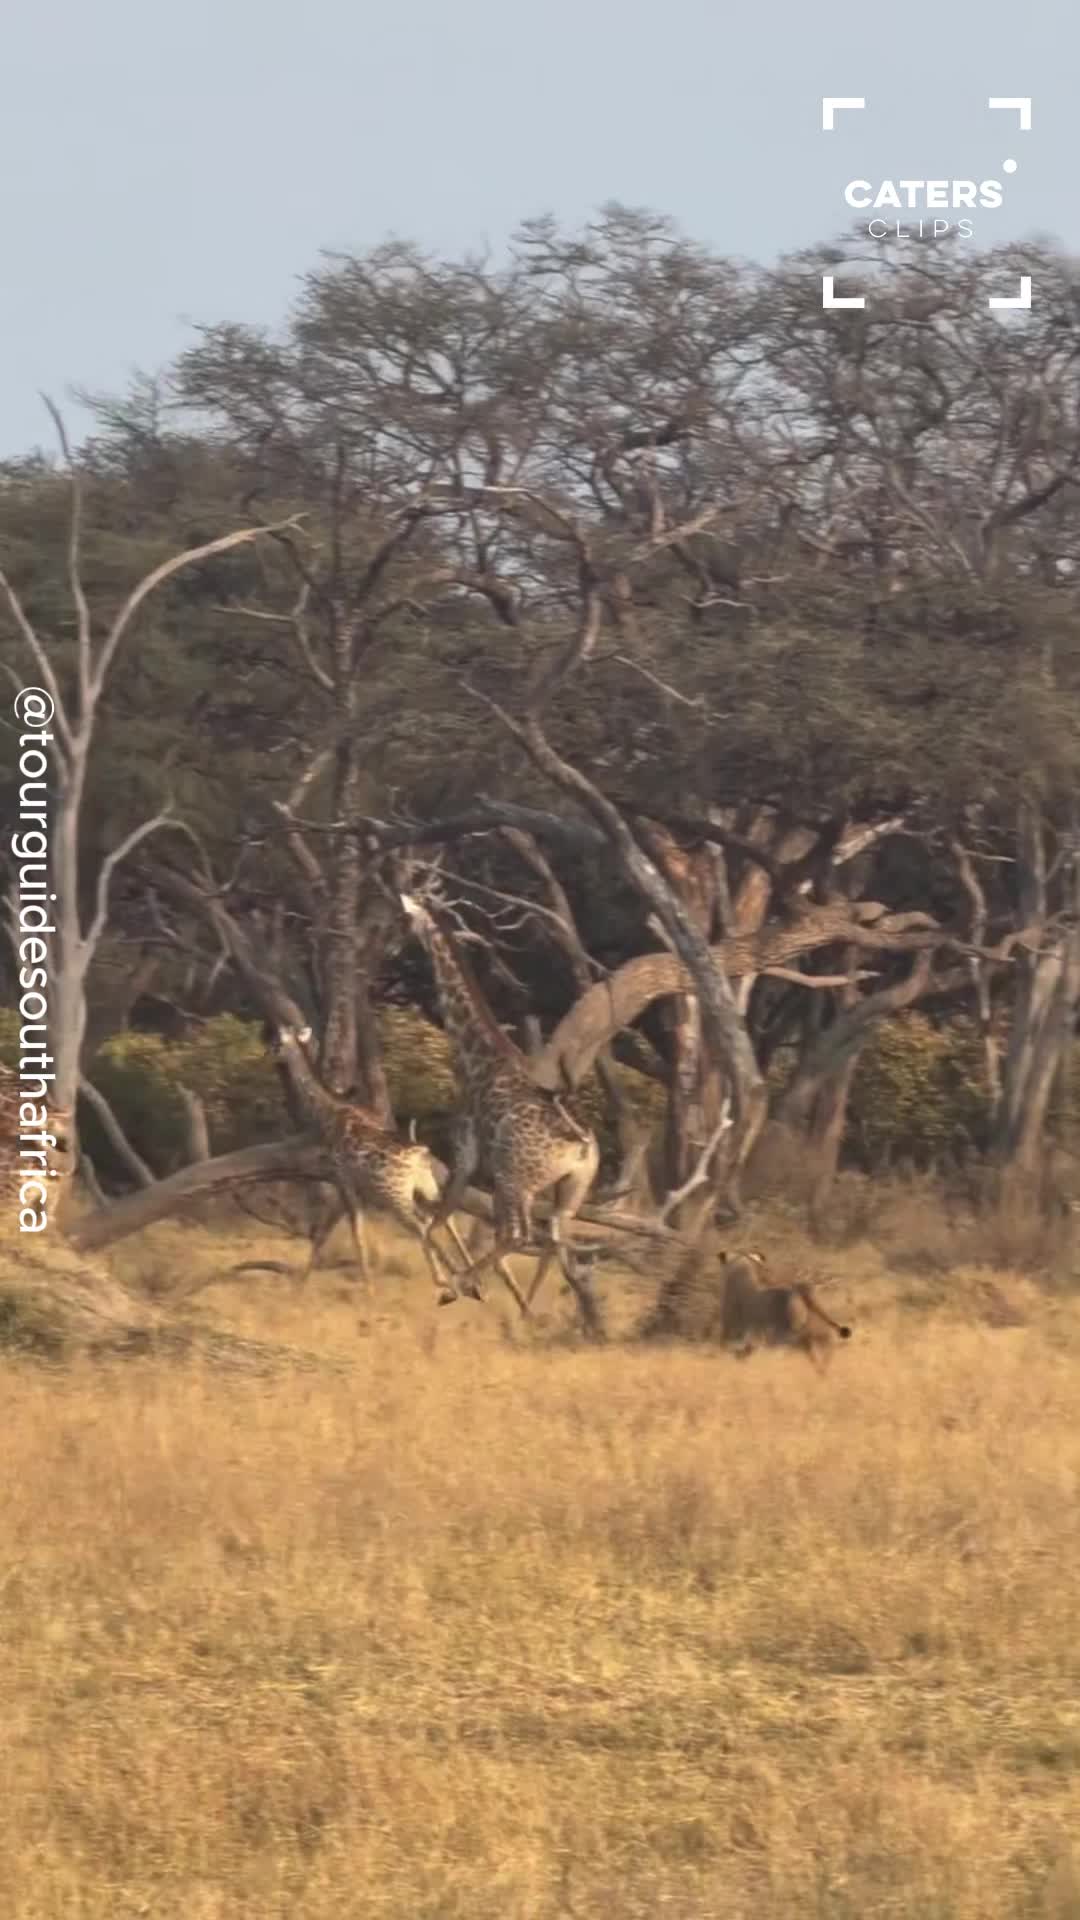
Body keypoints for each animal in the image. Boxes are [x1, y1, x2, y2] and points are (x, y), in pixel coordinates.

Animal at [263, 1021, 478, 1304]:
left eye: (277, 1043)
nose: (266, 1055)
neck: (328, 1114)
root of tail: (419, 1154)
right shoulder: (352, 1186)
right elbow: (324, 1234)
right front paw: (299, 1286)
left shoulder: (342, 1178)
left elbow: (356, 1232)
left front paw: (369, 1291)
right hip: (426, 1187)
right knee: (445, 1218)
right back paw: (472, 1279)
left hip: (394, 1194)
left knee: (421, 1224)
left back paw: (444, 1281)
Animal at [398, 892, 603, 1331]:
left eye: (408, 920)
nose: (398, 955)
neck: (475, 1057)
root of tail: (579, 1144)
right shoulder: (479, 1167)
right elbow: (444, 1221)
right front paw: (467, 1285)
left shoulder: (466, 1155)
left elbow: (435, 1222)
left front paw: (452, 1285)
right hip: (569, 1190)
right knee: (553, 1241)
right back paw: (528, 1312)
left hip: (517, 1180)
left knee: (520, 1235)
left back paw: (469, 1288)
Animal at [713, 1250, 852, 1373]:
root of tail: (802, 1290)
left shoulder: (732, 1329)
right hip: (814, 1333)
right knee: (824, 1350)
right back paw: (821, 1372)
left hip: (786, 1335)